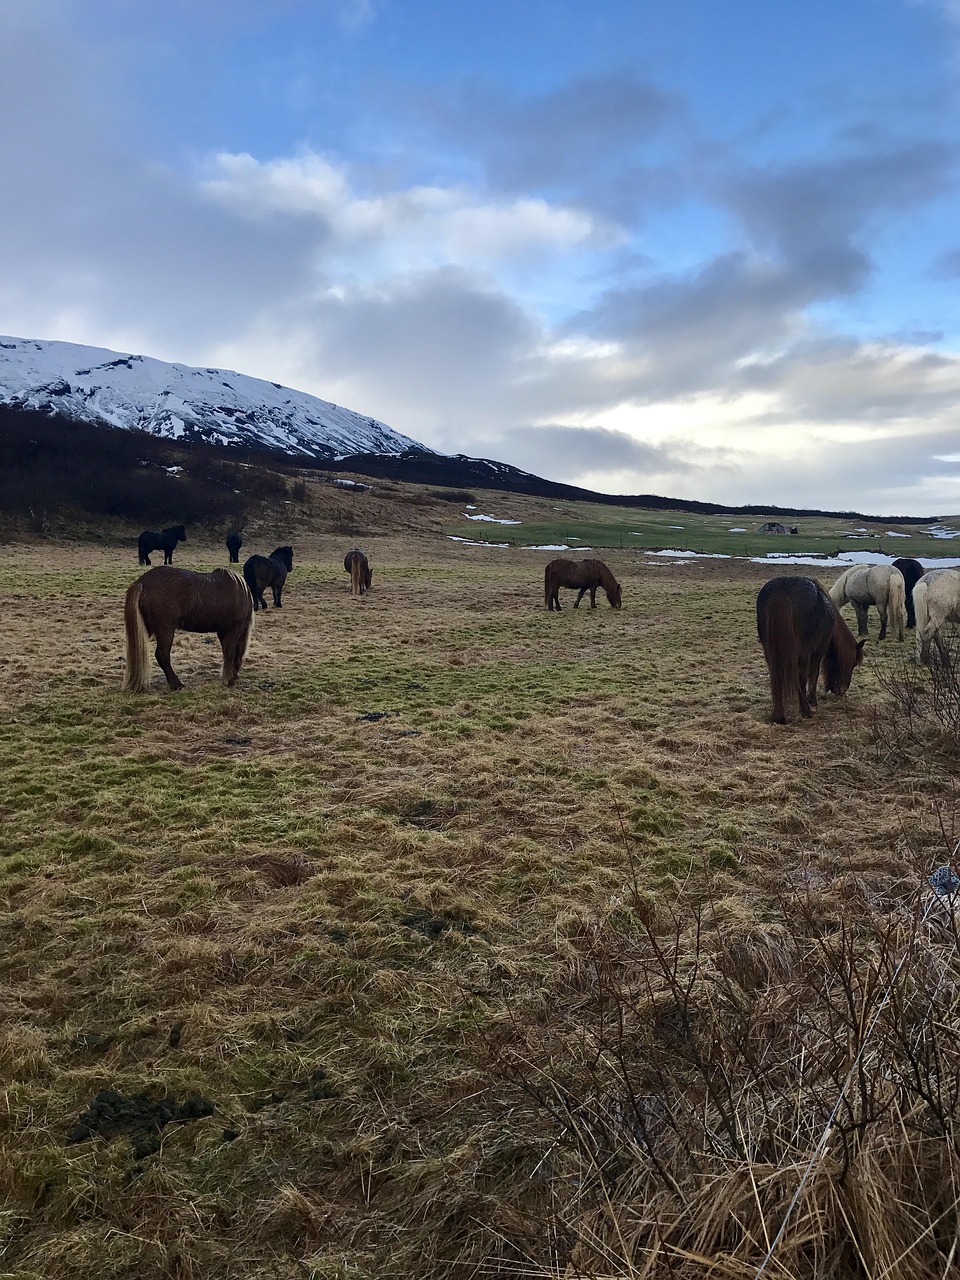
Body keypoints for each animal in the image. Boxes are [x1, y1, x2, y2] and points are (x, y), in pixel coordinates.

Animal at [122, 568, 256, 696]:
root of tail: (142, 582)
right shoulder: (235, 628)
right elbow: (230, 652)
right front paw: (229, 680)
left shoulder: (223, 631)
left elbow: (227, 651)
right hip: (165, 630)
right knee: (162, 655)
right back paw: (176, 684)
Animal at [757, 578, 870, 727]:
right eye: (853, 664)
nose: (842, 690)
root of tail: (781, 591)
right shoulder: (818, 652)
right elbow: (814, 674)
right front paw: (812, 701)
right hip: (803, 653)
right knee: (802, 676)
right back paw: (806, 711)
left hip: (770, 652)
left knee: (776, 676)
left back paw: (778, 716)